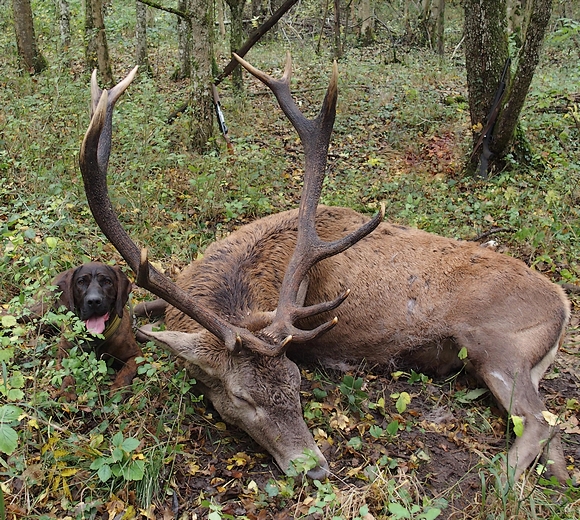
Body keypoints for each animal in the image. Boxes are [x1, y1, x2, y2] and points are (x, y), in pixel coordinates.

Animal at [27, 262, 143, 396]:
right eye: (81, 282)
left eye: (107, 281)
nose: (94, 301)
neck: (95, 337)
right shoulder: (64, 356)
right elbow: (68, 372)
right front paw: (67, 392)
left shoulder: (136, 355)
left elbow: (126, 372)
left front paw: (119, 389)